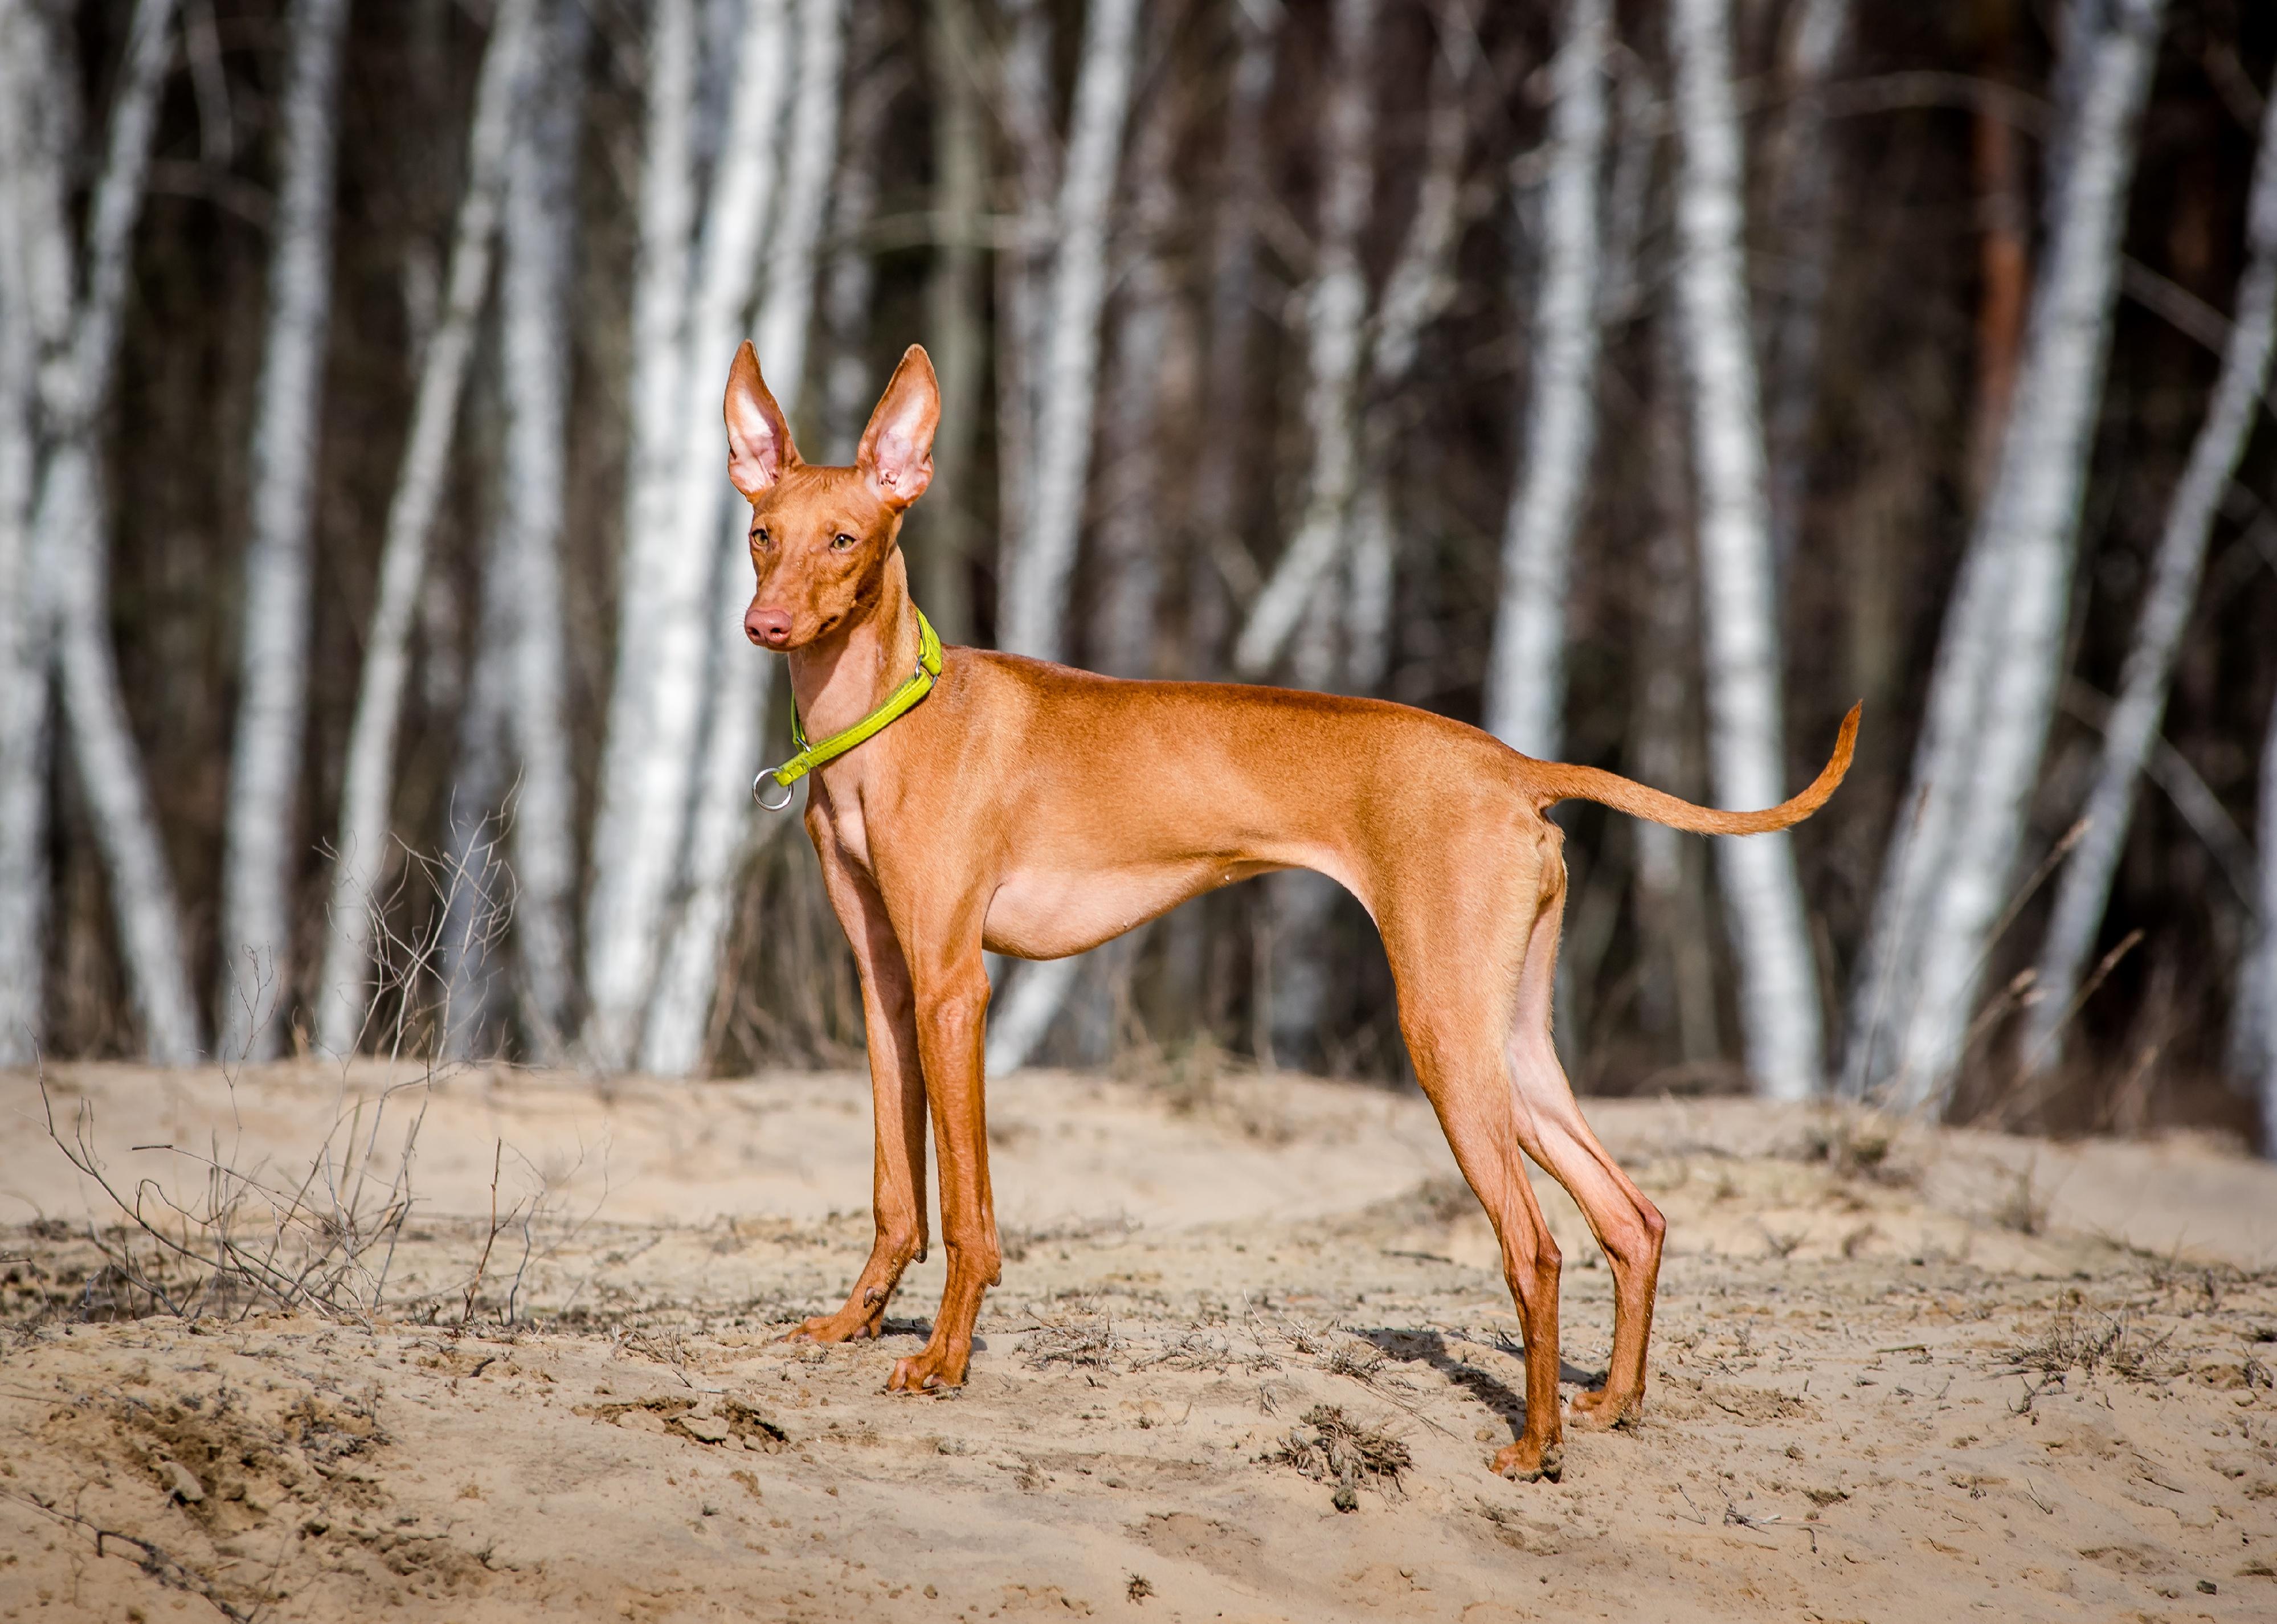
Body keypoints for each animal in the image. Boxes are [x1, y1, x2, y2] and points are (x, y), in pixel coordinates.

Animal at [729, 334, 1849, 1476]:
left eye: (846, 537)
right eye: (762, 533)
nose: (764, 624)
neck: (886, 721)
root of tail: (1512, 768)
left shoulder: (956, 988)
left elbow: (967, 1212)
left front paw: (945, 1360)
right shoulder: (887, 987)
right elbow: (894, 1192)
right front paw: (854, 1322)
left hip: (1444, 1036)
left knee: (1534, 1247)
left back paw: (1531, 1445)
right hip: (1512, 1045)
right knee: (1632, 1218)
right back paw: (1612, 1402)